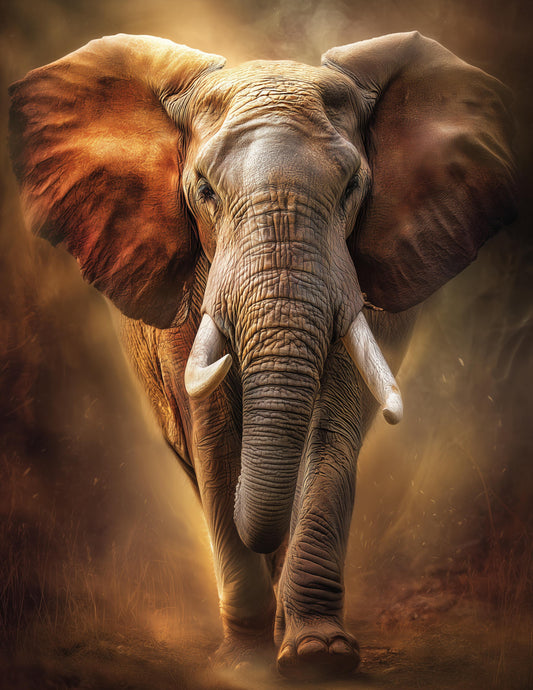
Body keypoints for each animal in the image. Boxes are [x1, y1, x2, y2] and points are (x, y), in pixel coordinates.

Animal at [9, 31, 516, 679]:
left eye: (352, 188)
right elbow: (214, 434)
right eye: (203, 189)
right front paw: (246, 665)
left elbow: (332, 426)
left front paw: (319, 656)